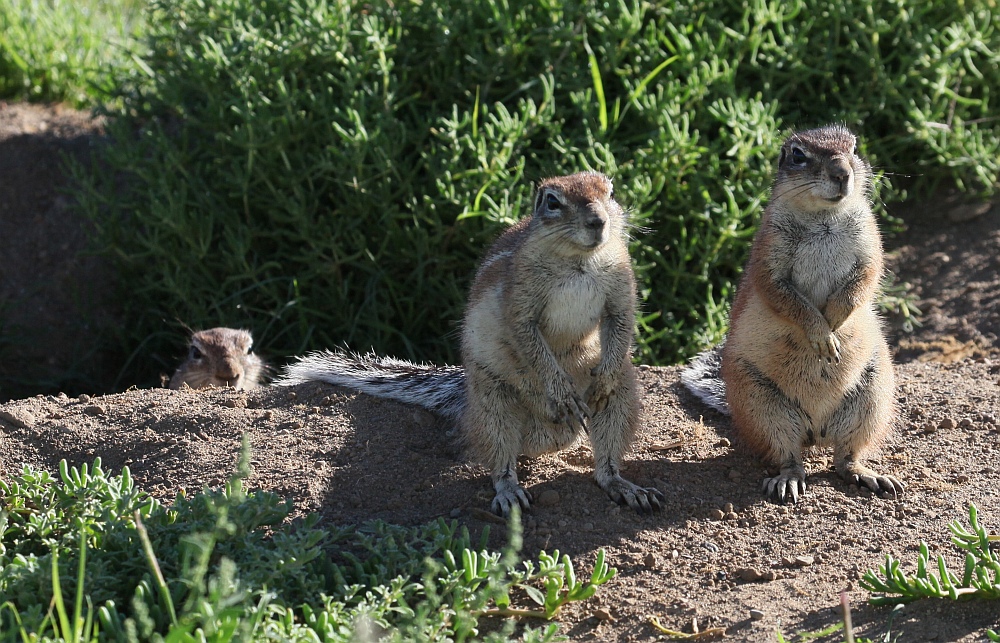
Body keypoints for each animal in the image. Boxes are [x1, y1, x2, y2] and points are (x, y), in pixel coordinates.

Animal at [280, 171, 664, 520]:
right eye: (553, 202)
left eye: (610, 192)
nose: (598, 221)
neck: (579, 261)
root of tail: (546, 437)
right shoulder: (519, 300)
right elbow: (529, 342)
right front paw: (558, 389)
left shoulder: (620, 289)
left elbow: (620, 324)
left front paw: (603, 378)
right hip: (492, 400)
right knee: (500, 458)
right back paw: (510, 491)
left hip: (623, 397)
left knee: (605, 459)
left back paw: (625, 486)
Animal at [680, 124, 908, 504]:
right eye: (798, 155)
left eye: (854, 147)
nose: (841, 173)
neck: (825, 218)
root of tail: (816, 431)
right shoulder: (769, 255)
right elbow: (786, 298)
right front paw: (822, 333)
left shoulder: (870, 246)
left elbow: (864, 281)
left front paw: (836, 323)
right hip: (763, 407)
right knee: (788, 456)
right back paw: (787, 481)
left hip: (872, 398)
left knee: (845, 459)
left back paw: (869, 476)